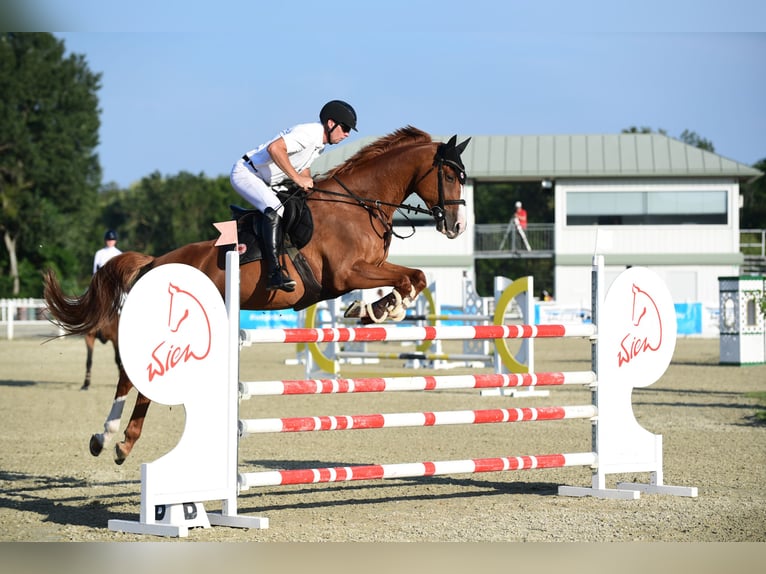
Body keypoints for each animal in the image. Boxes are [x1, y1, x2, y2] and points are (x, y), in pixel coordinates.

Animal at [45, 128, 472, 466]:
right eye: (450, 175)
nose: (456, 226)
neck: (359, 204)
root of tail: (155, 262)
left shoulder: (366, 268)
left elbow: (414, 277)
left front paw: (375, 309)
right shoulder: (346, 272)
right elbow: (407, 279)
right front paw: (379, 308)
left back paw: (118, 442)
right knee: (132, 376)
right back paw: (110, 439)